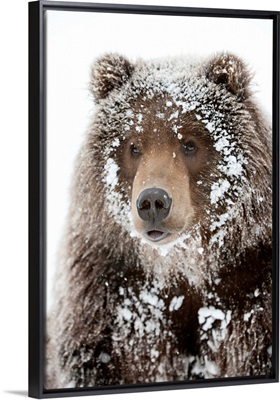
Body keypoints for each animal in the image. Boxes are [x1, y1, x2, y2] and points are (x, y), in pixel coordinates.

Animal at [45, 51, 272, 390]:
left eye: (189, 143)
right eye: (134, 145)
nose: (153, 202)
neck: (182, 264)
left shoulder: (251, 281)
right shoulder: (111, 290)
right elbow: (101, 354)